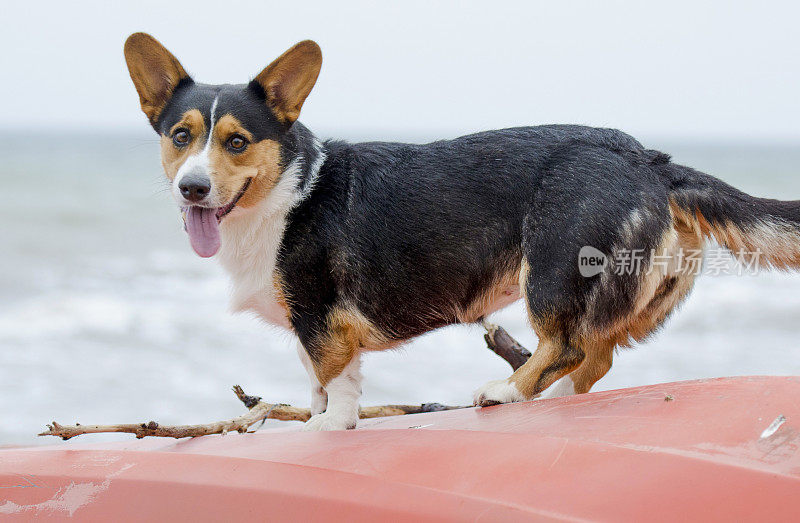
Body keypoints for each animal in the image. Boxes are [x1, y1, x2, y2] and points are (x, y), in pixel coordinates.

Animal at [122, 34, 800, 432]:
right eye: (181, 136)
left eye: (237, 141)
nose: (192, 189)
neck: (290, 189)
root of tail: (646, 157)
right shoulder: (306, 328)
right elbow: (313, 380)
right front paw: (314, 414)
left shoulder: (321, 320)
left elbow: (335, 384)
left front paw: (327, 428)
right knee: (596, 356)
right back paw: (549, 398)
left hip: (551, 267)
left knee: (568, 346)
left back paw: (507, 391)